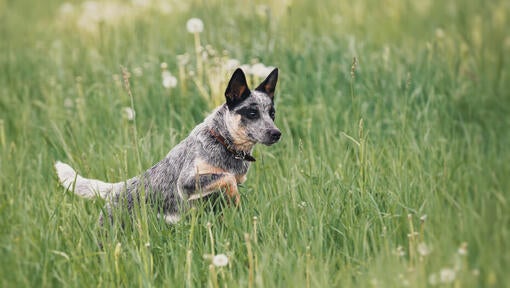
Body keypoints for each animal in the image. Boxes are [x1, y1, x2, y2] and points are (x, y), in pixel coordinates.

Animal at [54, 68, 282, 225]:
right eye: (252, 113)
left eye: (272, 114)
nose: (276, 133)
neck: (223, 143)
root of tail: (118, 188)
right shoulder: (187, 183)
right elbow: (227, 178)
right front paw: (235, 198)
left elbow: (230, 180)